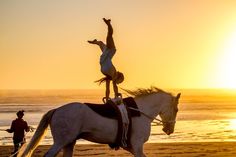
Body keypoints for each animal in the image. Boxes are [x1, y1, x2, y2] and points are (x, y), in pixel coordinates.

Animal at [18, 87, 181, 157]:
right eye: (176, 109)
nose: (169, 130)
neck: (139, 111)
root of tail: (57, 110)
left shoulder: (131, 146)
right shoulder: (137, 145)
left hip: (69, 143)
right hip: (61, 142)